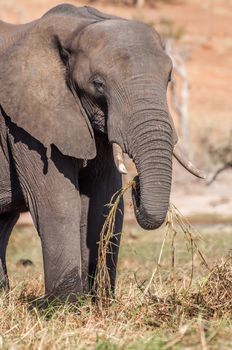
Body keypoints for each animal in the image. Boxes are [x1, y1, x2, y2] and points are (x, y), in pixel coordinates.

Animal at [0, 3, 203, 300]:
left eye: (168, 79)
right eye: (98, 84)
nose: (136, 184)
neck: (76, 27)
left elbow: (105, 199)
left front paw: (99, 302)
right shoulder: (25, 123)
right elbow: (58, 202)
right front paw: (66, 305)